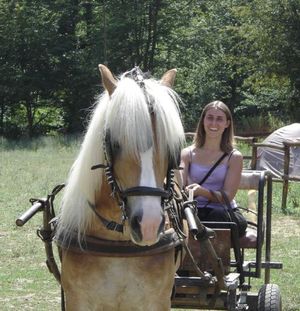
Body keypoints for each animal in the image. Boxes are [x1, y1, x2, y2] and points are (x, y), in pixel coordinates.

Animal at [55, 64, 188, 310]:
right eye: (114, 143)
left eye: (171, 148)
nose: (148, 225)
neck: (118, 243)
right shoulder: (77, 299)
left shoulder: (158, 300)